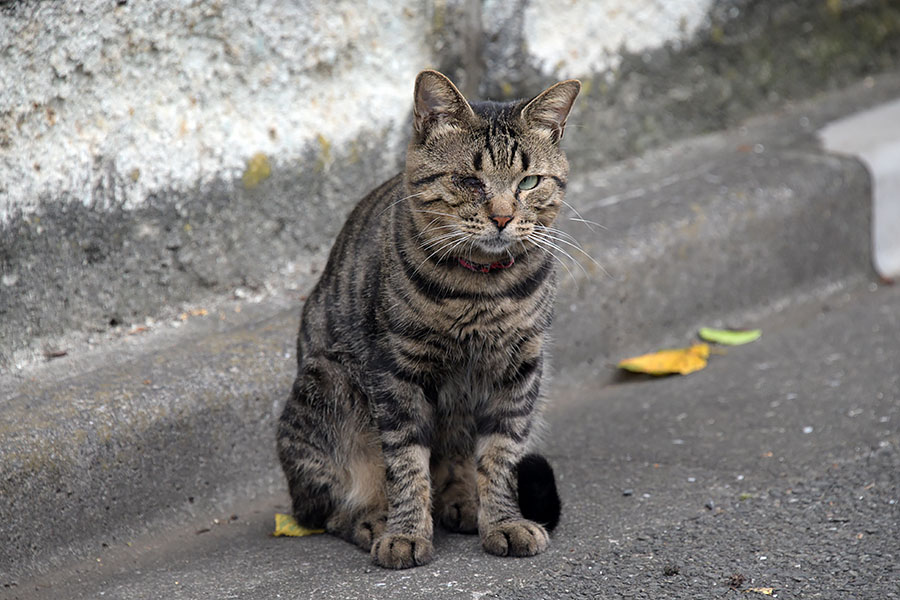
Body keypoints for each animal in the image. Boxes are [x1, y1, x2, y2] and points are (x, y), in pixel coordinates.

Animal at [278, 69, 580, 568]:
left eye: (529, 181)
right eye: (469, 180)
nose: (503, 217)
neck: (480, 290)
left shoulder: (519, 368)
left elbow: (501, 454)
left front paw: (503, 521)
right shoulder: (396, 371)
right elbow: (405, 463)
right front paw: (406, 532)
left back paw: (463, 501)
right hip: (327, 383)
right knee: (327, 507)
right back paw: (373, 518)